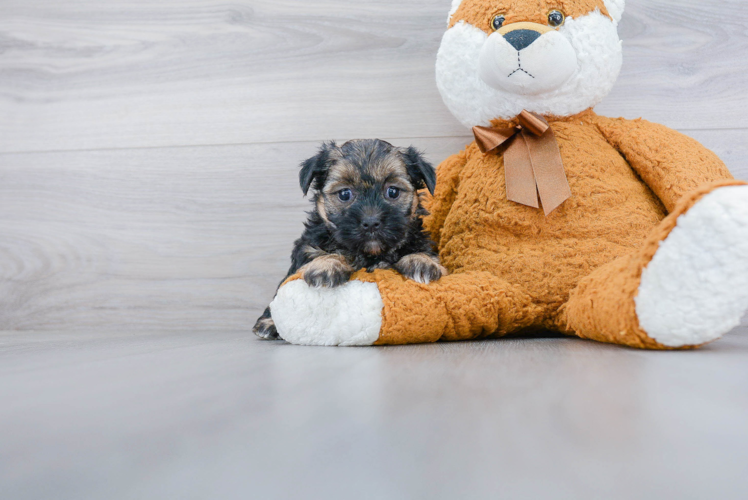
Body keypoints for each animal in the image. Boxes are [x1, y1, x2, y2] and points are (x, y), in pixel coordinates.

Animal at [254, 139, 448, 340]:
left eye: (393, 192)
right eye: (345, 194)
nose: (371, 222)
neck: (371, 254)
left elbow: (421, 249)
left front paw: (422, 261)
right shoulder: (307, 247)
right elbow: (321, 253)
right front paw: (326, 265)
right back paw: (268, 324)